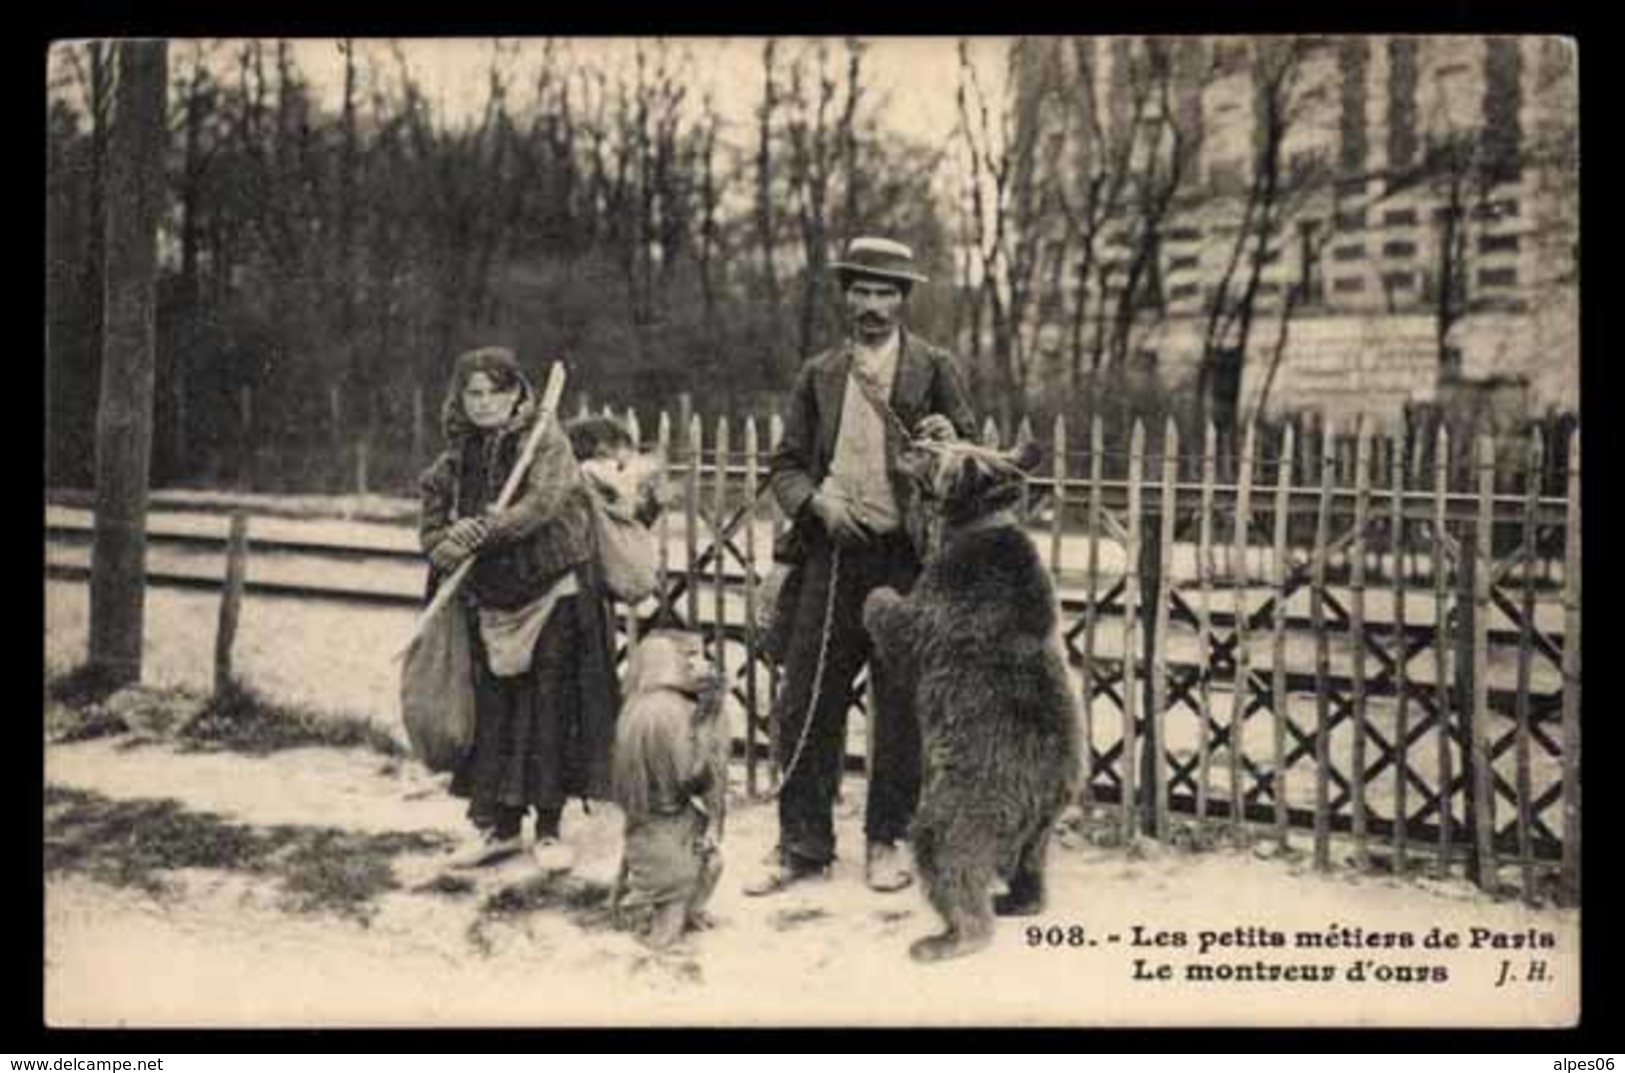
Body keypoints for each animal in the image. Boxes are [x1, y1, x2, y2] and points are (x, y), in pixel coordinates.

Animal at [864, 438, 1079, 962]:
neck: (976, 524)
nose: (911, 441)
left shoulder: (942, 603)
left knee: (949, 865)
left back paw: (945, 938)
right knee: (1030, 867)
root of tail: (1036, 796)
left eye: (937, 451)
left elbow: (901, 625)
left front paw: (876, 594)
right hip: (1043, 823)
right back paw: (1018, 901)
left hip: (958, 809)